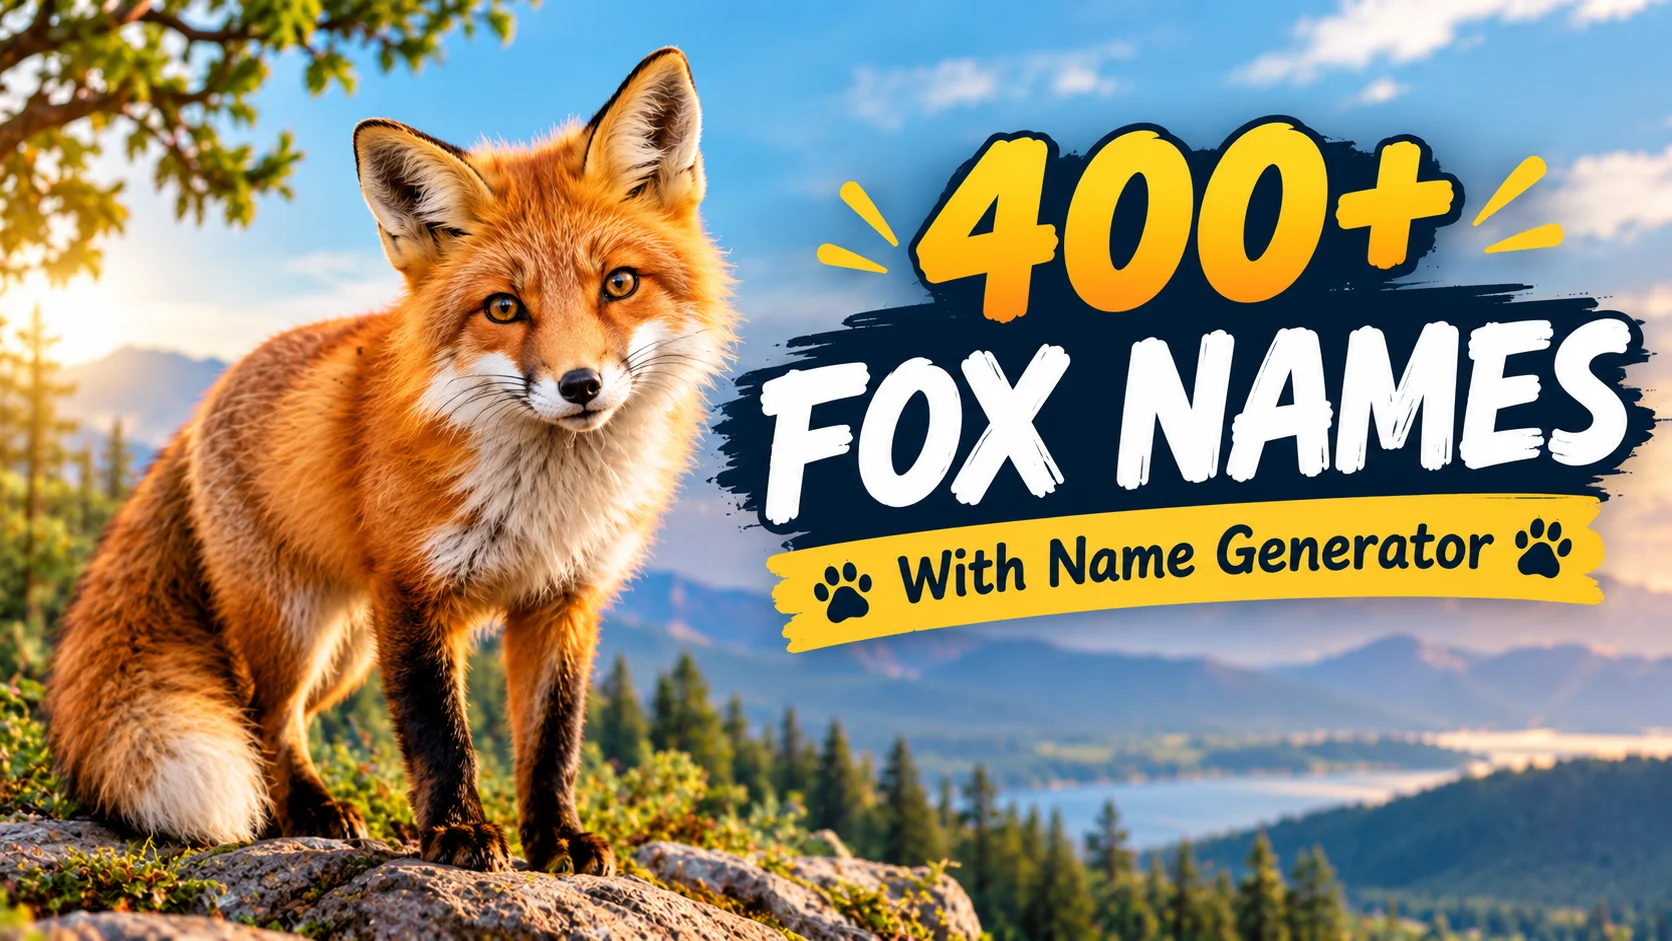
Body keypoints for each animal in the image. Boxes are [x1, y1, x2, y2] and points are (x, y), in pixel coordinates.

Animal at [44, 47, 733, 875]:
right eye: (504, 307)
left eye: (620, 284)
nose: (580, 385)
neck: (546, 503)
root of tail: (204, 402)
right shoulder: (413, 589)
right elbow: (439, 732)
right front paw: (459, 831)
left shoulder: (564, 598)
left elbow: (553, 741)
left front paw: (556, 839)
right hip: (295, 623)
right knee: (264, 712)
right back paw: (308, 810)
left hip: (348, 653)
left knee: (277, 712)